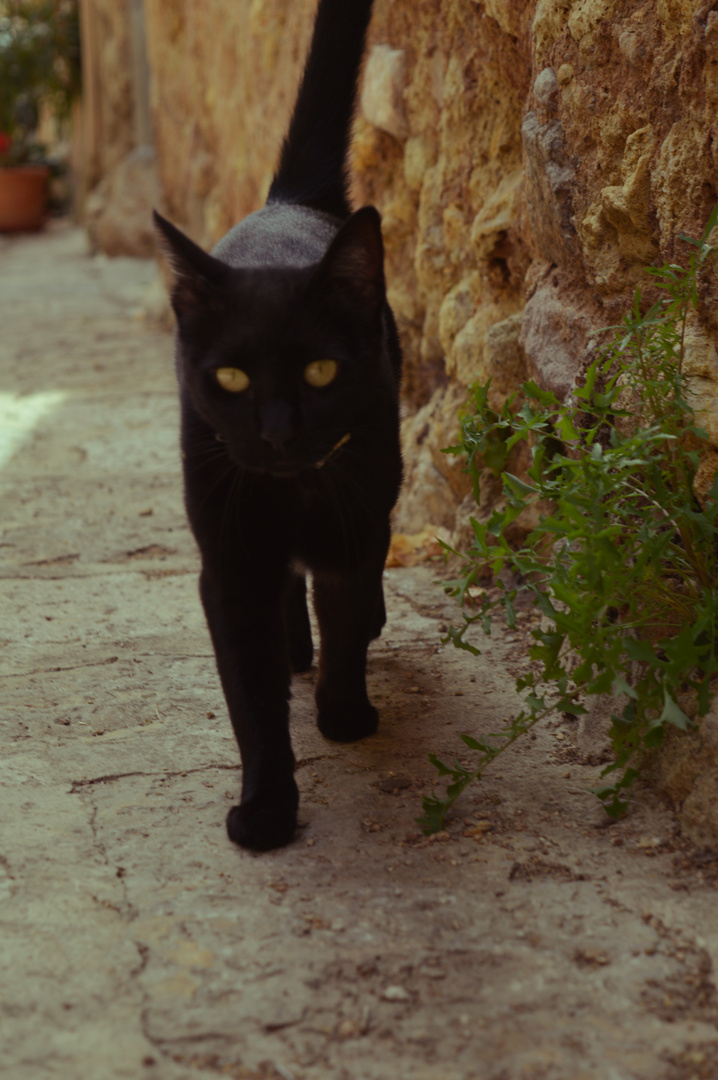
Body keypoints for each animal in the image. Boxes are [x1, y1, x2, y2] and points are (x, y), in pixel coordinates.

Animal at [155, 0, 403, 851]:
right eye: (231, 378)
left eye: (321, 372)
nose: (276, 430)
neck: (296, 497)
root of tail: (288, 203)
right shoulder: (230, 564)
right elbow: (254, 697)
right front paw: (266, 810)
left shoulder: (355, 528)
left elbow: (348, 617)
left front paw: (345, 713)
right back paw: (297, 644)